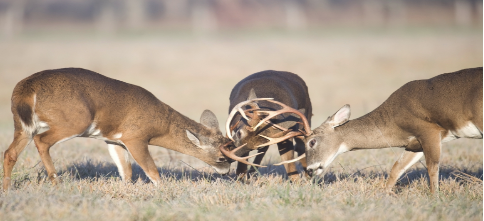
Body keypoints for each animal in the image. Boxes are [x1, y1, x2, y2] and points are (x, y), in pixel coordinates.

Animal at [1, 67, 233, 190]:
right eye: (222, 157)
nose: (226, 171)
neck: (161, 123)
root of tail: (26, 88)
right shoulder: (136, 137)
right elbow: (151, 170)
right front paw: (163, 190)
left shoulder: (113, 139)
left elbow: (126, 170)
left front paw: (129, 190)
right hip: (75, 120)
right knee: (41, 141)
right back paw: (56, 182)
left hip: (22, 125)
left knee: (10, 152)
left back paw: (8, 188)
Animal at [272, 67, 480, 193]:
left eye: (312, 142)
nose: (309, 169)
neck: (395, 121)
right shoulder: (415, 143)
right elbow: (397, 168)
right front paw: (385, 194)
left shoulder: (428, 130)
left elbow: (432, 167)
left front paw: (434, 197)